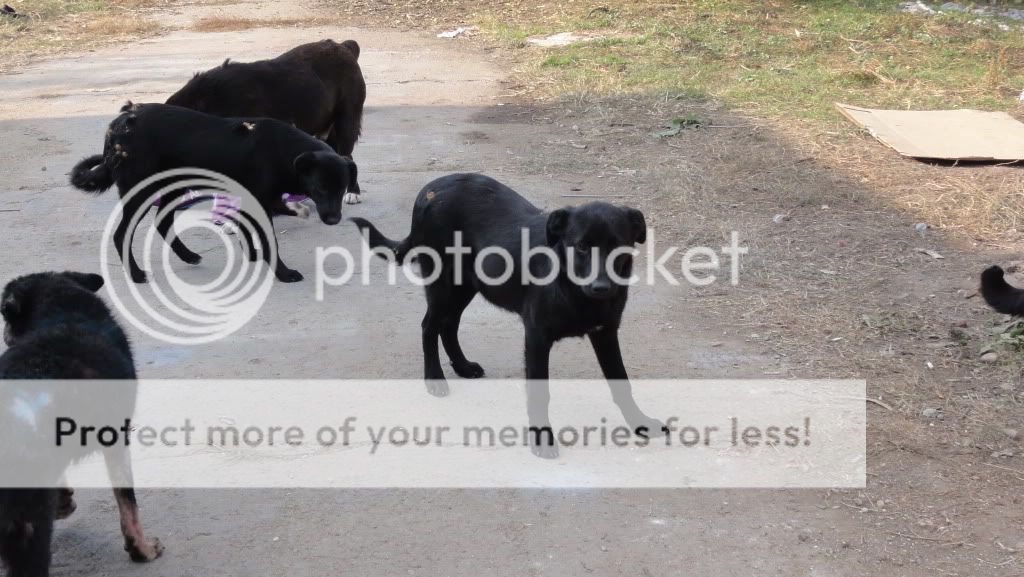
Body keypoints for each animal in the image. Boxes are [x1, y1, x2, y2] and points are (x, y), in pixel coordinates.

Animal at [0, 272, 161, 577]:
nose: (4, 334)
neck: (65, 310)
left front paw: (64, 501)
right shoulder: (116, 438)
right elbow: (128, 503)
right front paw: (142, 549)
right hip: (30, 530)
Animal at [70, 104, 354, 286]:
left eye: (342, 189)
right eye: (321, 188)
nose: (333, 219)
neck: (281, 152)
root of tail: (118, 125)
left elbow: (247, 227)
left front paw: (253, 254)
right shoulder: (259, 201)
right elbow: (269, 238)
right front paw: (282, 273)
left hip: (176, 184)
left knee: (163, 221)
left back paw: (188, 255)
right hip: (141, 190)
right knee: (122, 234)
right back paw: (137, 274)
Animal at [356, 174, 667, 459]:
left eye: (619, 246)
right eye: (580, 246)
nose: (600, 288)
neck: (571, 287)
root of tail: (430, 189)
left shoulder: (606, 333)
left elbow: (622, 382)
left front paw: (640, 423)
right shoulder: (537, 336)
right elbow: (540, 393)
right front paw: (542, 439)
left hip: (465, 287)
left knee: (449, 325)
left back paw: (463, 366)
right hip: (443, 285)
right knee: (429, 326)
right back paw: (434, 378)